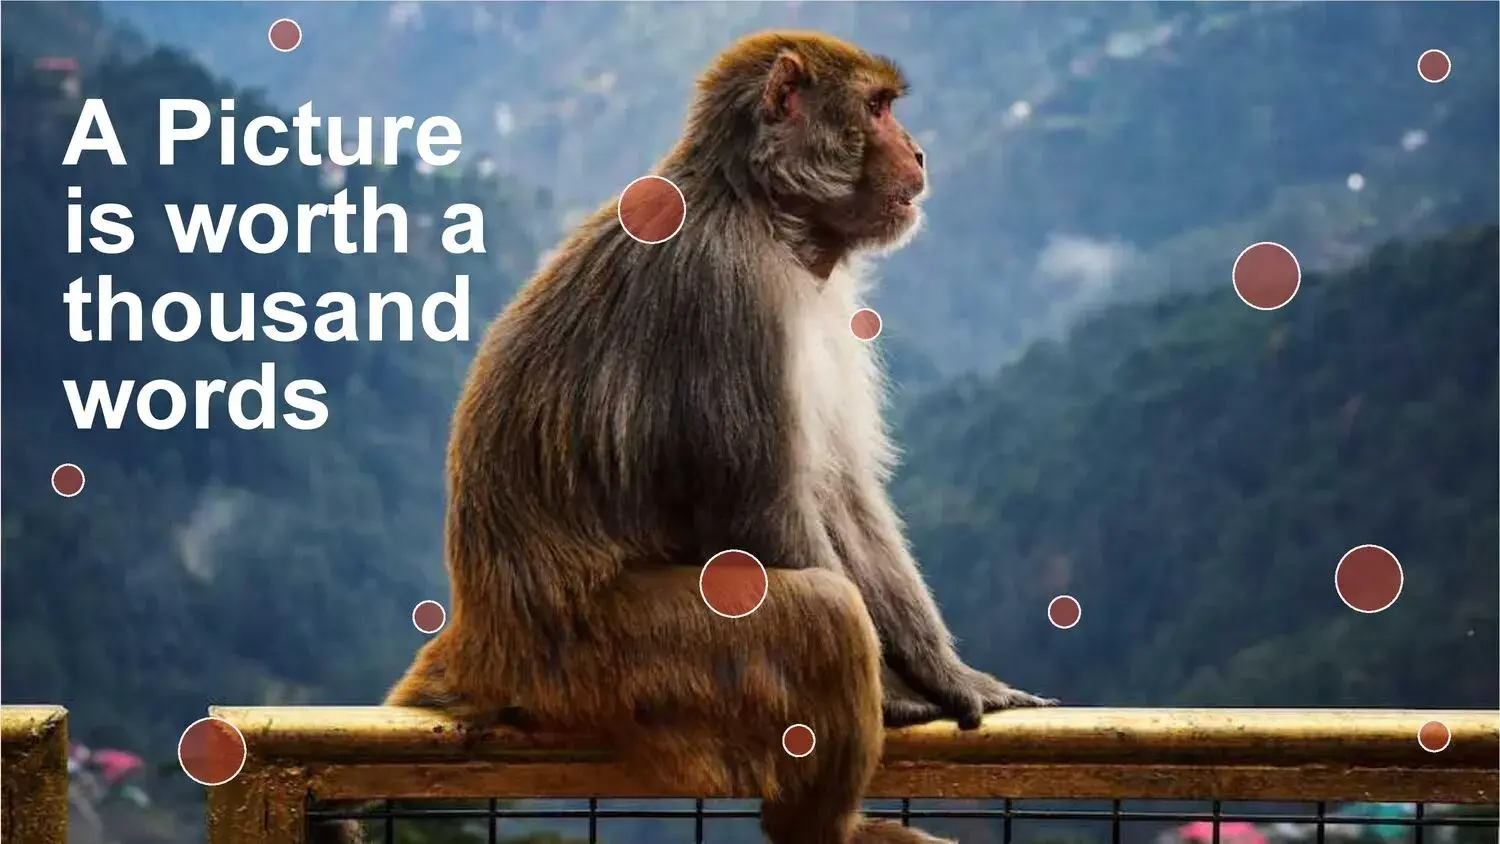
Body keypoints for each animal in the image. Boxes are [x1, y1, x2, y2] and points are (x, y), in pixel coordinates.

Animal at [319, 30, 1054, 844]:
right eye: (878, 108)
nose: (920, 152)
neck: (766, 215)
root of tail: (486, 639)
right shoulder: (728, 290)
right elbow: (760, 511)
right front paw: (895, 690)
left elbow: (842, 495)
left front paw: (948, 672)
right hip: (614, 664)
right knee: (822, 614)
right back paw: (823, 827)